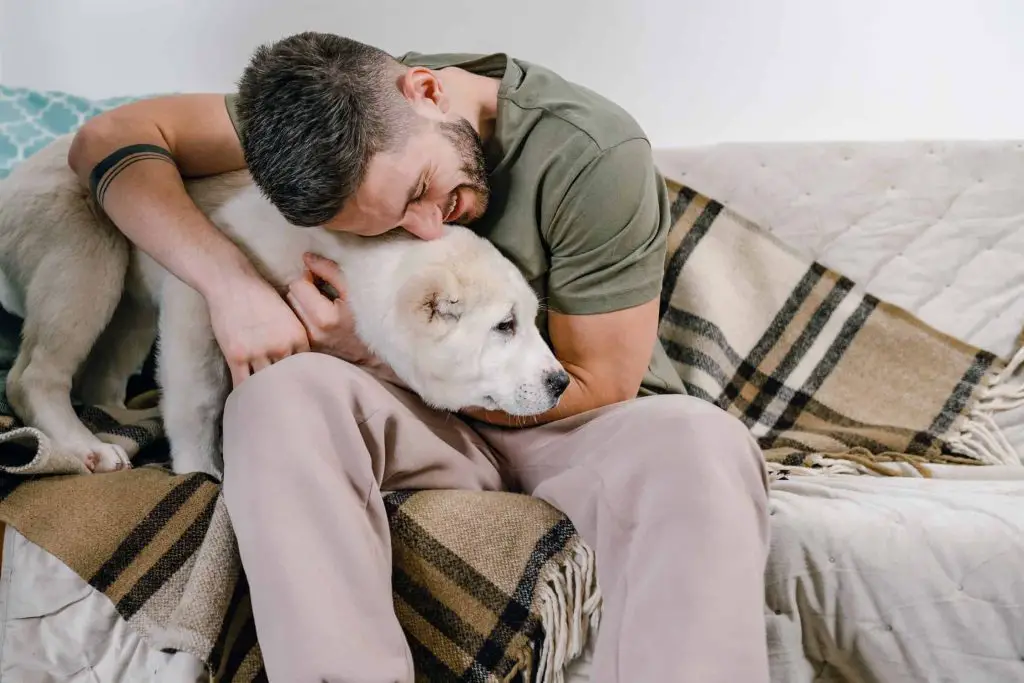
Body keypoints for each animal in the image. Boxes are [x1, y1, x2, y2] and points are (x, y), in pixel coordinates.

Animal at [0, 135, 569, 481]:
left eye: (530, 321)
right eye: (504, 326)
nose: (562, 382)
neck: (353, 250)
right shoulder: (203, 287)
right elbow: (200, 396)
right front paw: (199, 471)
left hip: (130, 303)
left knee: (101, 373)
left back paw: (124, 416)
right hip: (85, 257)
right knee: (33, 376)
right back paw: (86, 446)